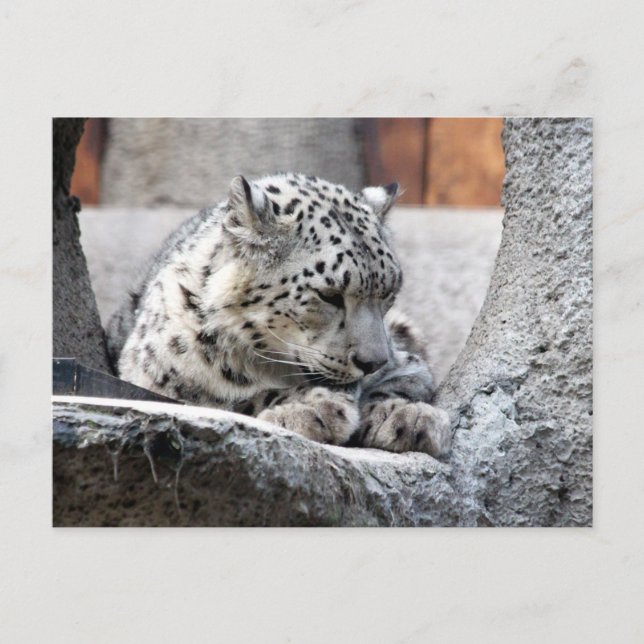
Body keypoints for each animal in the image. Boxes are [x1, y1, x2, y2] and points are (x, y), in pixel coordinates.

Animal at [107, 172, 451, 458]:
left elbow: (409, 379)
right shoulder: (157, 385)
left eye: (389, 292)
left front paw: (406, 416)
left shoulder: (406, 359)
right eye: (329, 295)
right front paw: (313, 408)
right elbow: (233, 401)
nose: (373, 363)